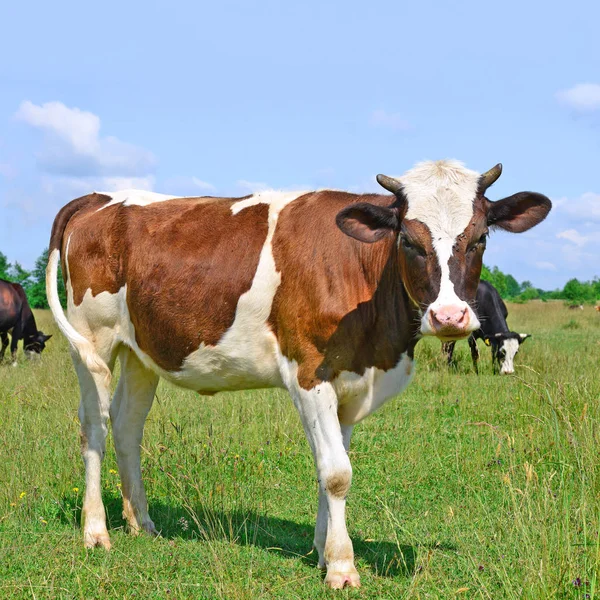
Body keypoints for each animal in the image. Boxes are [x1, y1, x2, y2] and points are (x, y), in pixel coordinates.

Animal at [48, 159, 552, 592]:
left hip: (141, 353)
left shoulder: (350, 383)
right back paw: (96, 531)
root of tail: (99, 196)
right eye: (408, 239)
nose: (449, 317)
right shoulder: (310, 373)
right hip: (91, 341)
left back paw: (142, 523)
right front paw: (343, 567)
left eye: (480, 237)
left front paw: (322, 550)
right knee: (94, 427)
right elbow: (337, 473)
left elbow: (331, 465)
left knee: (127, 426)